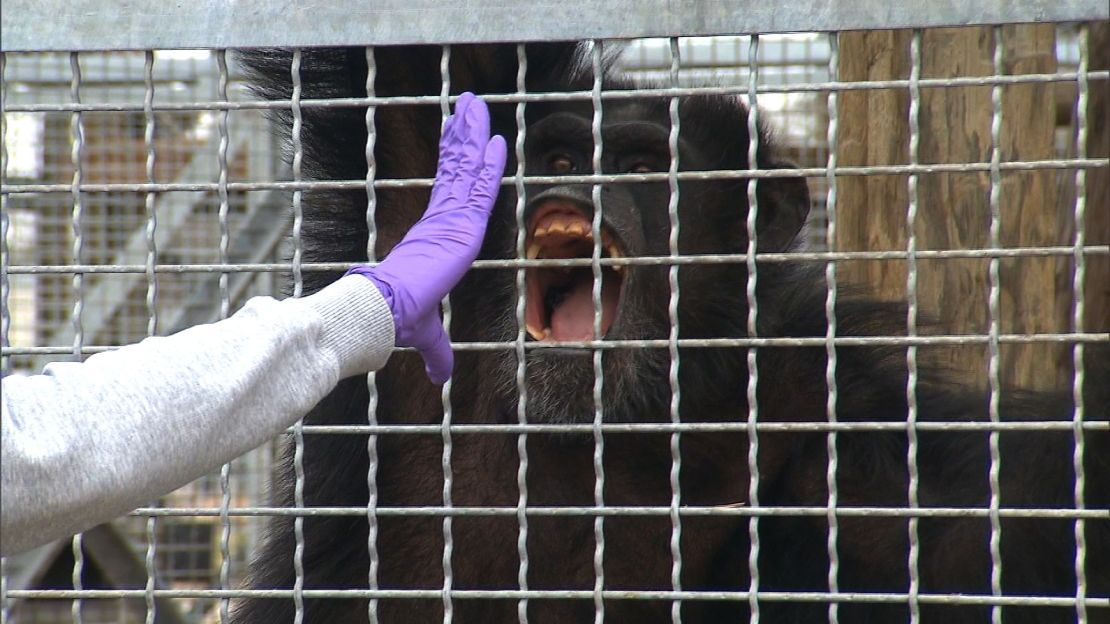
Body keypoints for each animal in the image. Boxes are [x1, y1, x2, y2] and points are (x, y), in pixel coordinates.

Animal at [229, 41, 1105, 617]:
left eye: (645, 168)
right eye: (557, 160)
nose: (576, 184)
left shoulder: (846, 434)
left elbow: (997, 521)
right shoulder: (415, 171)